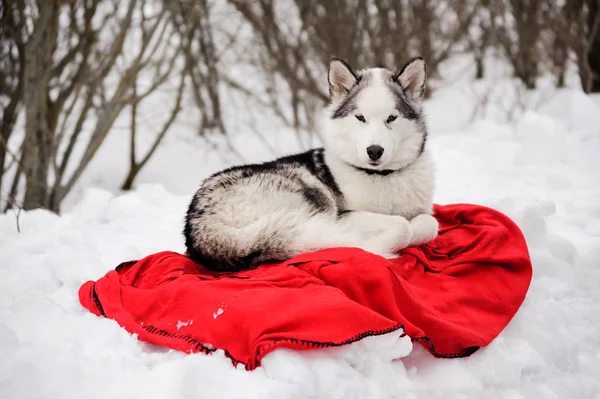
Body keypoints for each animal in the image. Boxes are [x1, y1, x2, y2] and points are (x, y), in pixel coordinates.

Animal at [185, 57, 438, 274]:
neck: (382, 176)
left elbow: (430, 223)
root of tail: (198, 223)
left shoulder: (422, 211)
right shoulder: (344, 215)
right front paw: (376, 245)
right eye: (360, 118)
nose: (374, 151)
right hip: (309, 194)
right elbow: (402, 227)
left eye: (391, 118)